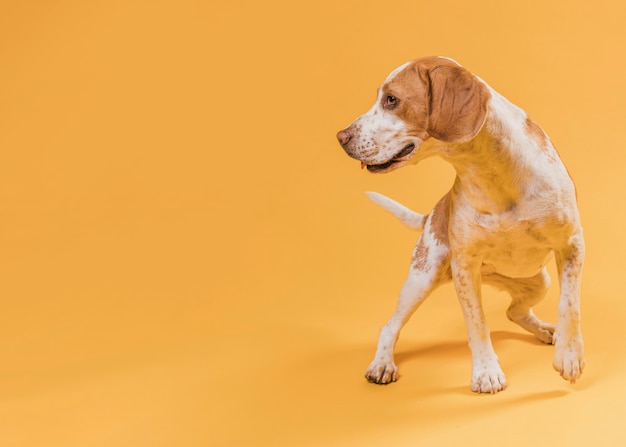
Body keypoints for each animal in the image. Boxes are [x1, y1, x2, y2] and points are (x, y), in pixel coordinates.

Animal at [336, 57, 584, 396]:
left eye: (391, 100)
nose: (341, 137)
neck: (494, 177)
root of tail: (433, 214)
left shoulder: (571, 245)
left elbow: (569, 305)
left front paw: (569, 356)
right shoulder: (465, 267)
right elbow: (477, 323)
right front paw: (486, 372)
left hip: (538, 282)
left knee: (514, 311)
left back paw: (548, 331)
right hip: (422, 279)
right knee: (389, 327)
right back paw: (381, 364)